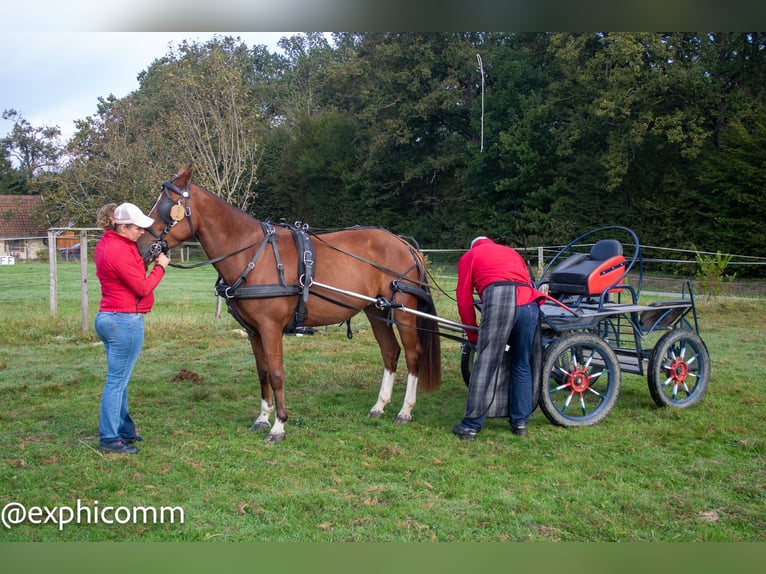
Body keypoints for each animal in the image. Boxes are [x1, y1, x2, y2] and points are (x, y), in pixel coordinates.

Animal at [135, 164, 440, 444]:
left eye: (166, 206)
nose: (141, 247)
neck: (252, 254)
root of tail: (404, 244)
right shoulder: (254, 331)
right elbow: (262, 373)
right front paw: (262, 417)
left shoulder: (270, 328)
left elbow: (277, 373)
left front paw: (279, 425)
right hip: (376, 310)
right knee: (390, 353)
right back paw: (379, 406)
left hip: (403, 312)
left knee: (413, 354)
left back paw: (405, 411)